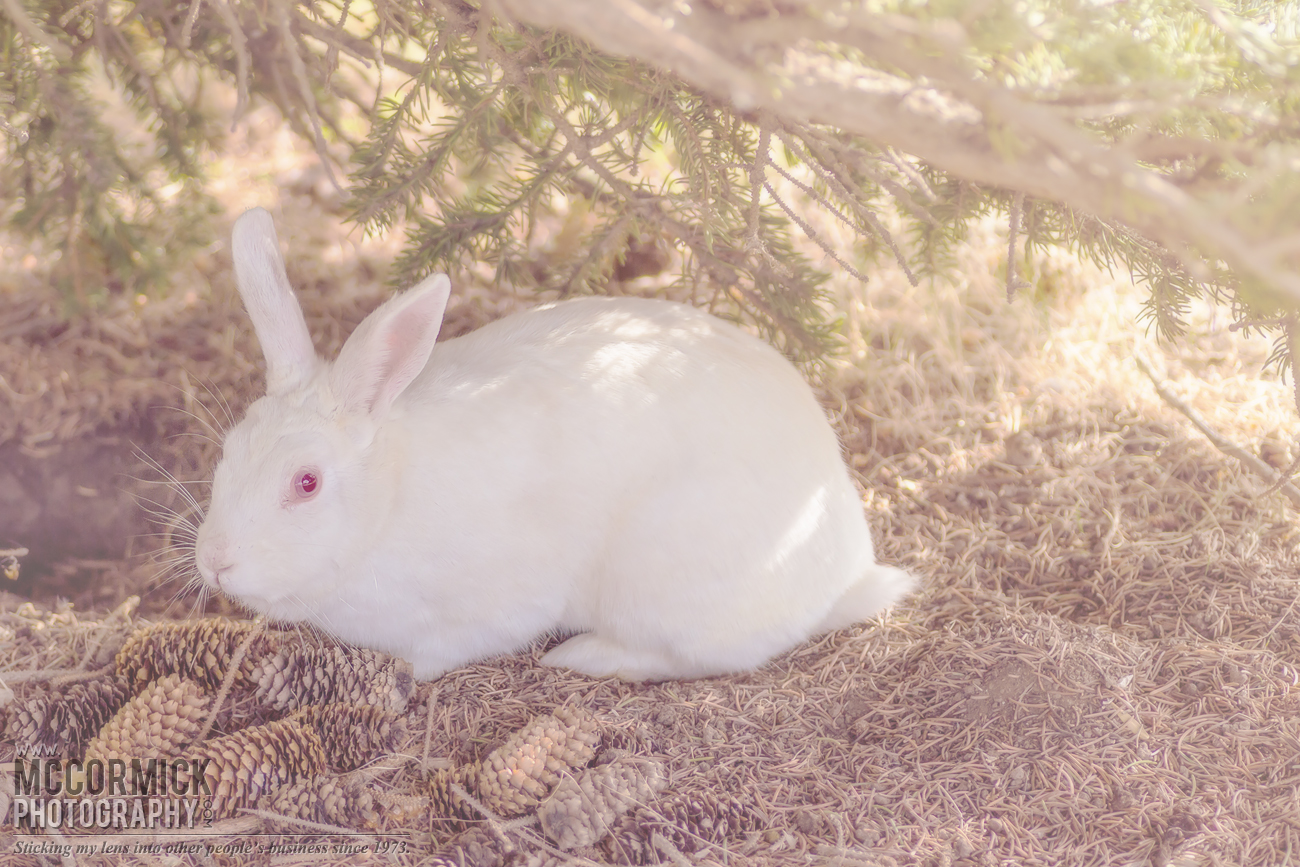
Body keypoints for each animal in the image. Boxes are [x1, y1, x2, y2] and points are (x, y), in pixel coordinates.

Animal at [193, 207, 915, 681]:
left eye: (306, 482)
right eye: (227, 452)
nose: (216, 562)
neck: (385, 505)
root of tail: (845, 569)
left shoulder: (488, 607)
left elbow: (440, 651)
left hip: (662, 578)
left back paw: (581, 655)